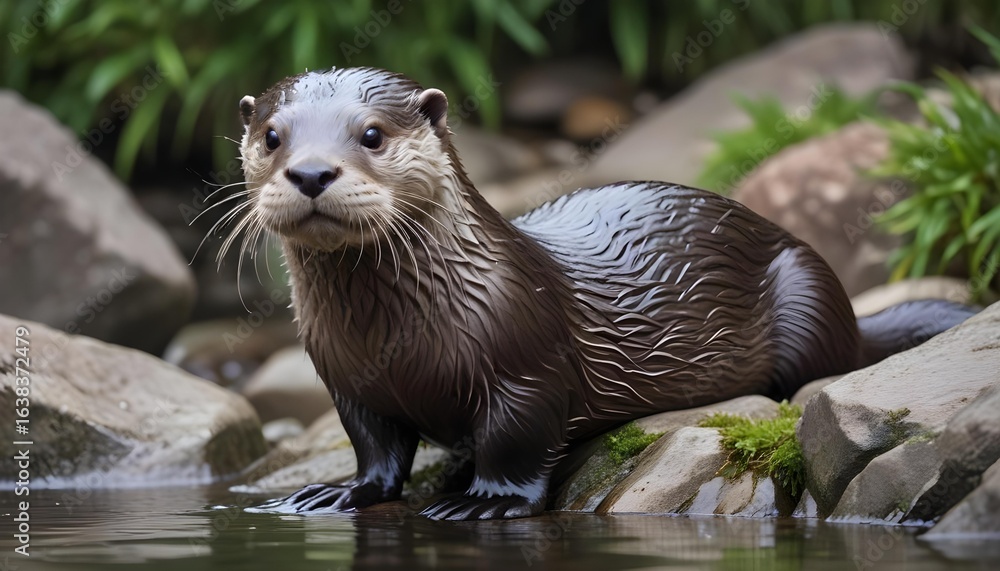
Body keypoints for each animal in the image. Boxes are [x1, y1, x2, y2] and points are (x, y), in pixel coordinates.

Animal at [232, 67, 975, 520]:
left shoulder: (526, 367)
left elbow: (519, 439)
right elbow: (375, 447)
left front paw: (485, 500)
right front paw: (342, 492)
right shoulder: (350, 382)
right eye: (271, 136)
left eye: (372, 134)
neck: (394, 341)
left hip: (805, 288)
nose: (311, 172)